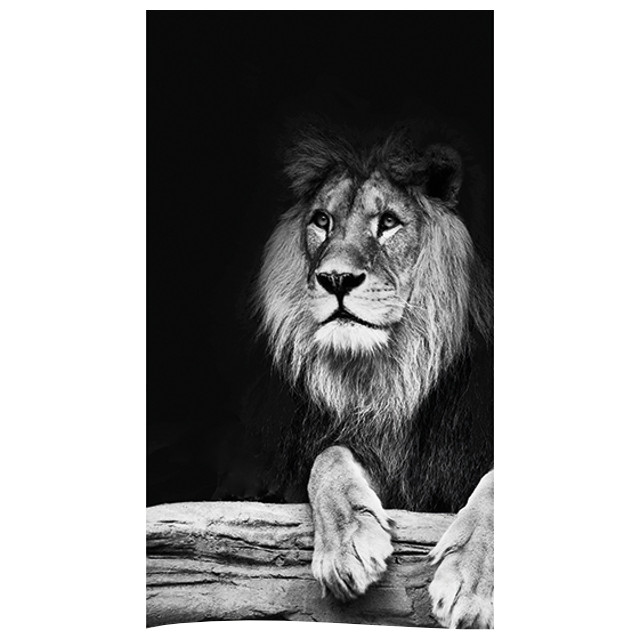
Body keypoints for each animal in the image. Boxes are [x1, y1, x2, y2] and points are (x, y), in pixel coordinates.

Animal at [249, 122, 493, 629]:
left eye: (388, 222)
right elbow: (328, 456)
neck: (393, 373)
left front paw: (468, 582)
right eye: (322, 220)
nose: (337, 279)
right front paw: (348, 546)